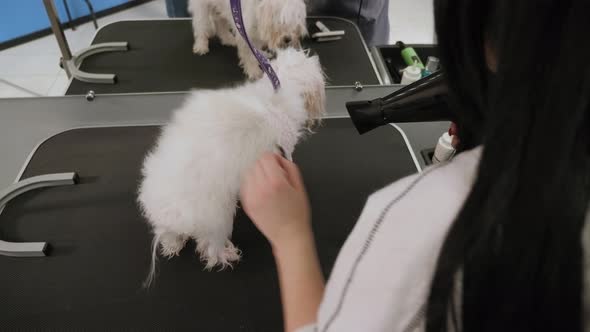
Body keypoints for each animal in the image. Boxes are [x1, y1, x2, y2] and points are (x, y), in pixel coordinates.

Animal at [138, 48, 326, 286]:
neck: (276, 90)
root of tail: (173, 214)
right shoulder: (286, 145)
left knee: (171, 236)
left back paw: (173, 244)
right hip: (218, 223)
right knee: (210, 250)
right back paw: (226, 255)